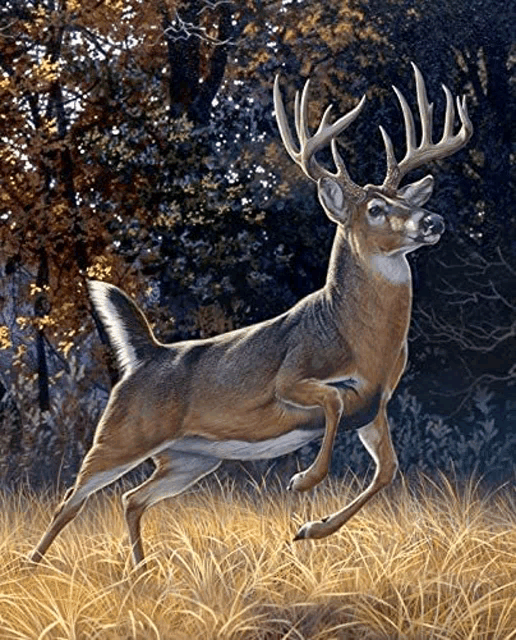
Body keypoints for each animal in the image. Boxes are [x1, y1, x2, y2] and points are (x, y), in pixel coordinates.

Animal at [28, 62, 472, 568]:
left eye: (411, 203)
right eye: (376, 208)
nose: (432, 221)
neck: (357, 339)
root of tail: (146, 355)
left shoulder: (375, 405)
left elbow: (388, 471)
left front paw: (311, 529)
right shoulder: (291, 379)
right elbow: (332, 400)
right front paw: (303, 481)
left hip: (191, 458)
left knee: (131, 498)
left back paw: (140, 571)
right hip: (121, 434)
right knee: (72, 498)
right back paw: (32, 566)